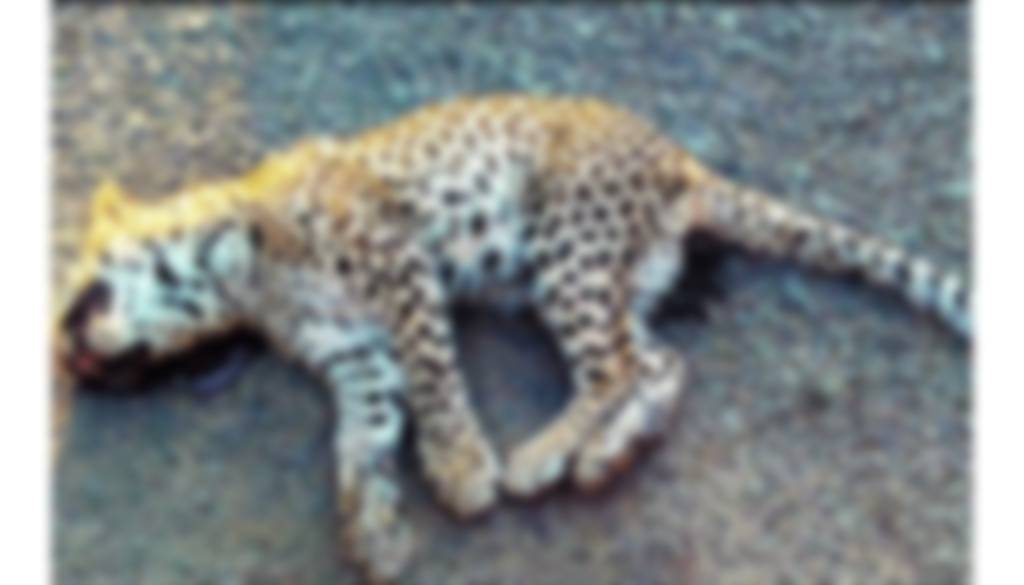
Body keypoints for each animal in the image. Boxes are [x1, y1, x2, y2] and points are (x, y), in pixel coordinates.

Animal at [53, 94, 969, 582]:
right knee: (658, 361)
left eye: (69, 300)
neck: (242, 273)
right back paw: (607, 456)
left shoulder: (399, 265)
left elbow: (435, 378)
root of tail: (681, 160)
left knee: (613, 369)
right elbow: (363, 437)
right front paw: (373, 528)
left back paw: (540, 456)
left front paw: (462, 468)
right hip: (609, 279)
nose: (69, 362)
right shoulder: (355, 353)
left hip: (569, 242)